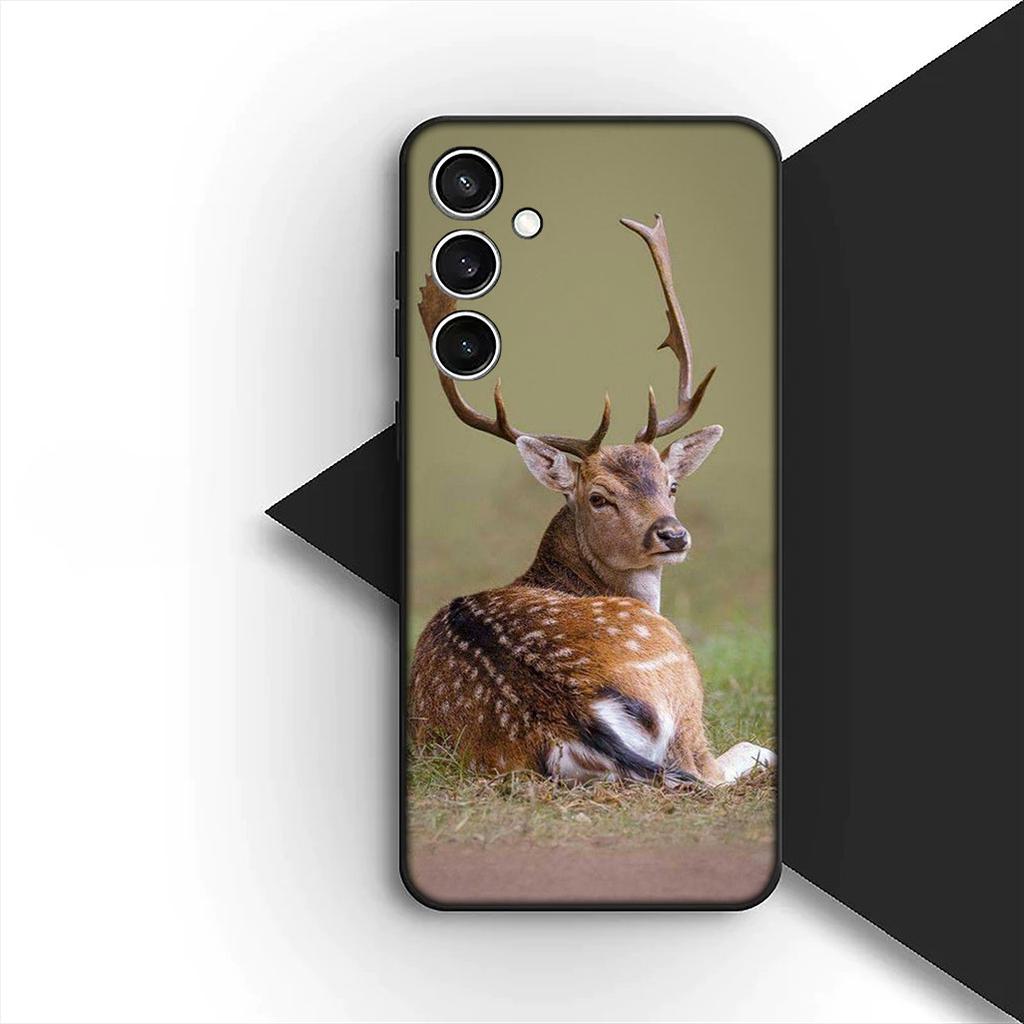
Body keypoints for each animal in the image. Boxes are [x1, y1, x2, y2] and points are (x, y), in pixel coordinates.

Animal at [409, 216, 776, 787]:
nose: (673, 534)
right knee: (720, 764)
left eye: (670, 485)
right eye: (599, 497)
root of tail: (570, 712)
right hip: (681, 678)